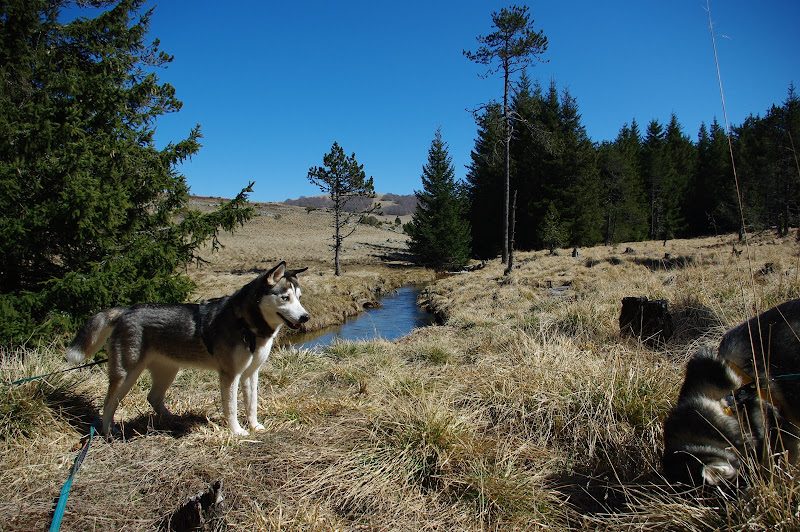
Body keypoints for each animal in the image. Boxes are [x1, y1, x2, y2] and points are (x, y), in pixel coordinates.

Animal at [67, 262, 310, 436]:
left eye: (299, 298)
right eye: (285, 298)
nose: (305, 317)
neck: (247, 325)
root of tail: (126, 310)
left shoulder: (251, 374)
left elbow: (252, 405)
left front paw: (254, 426)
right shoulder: (230, 375)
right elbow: (231, 407)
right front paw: (237, 432)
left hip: (168, 371)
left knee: (152, 397)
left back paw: (172, 419)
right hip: (126, 375)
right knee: (108, 405)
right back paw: (109, 432)